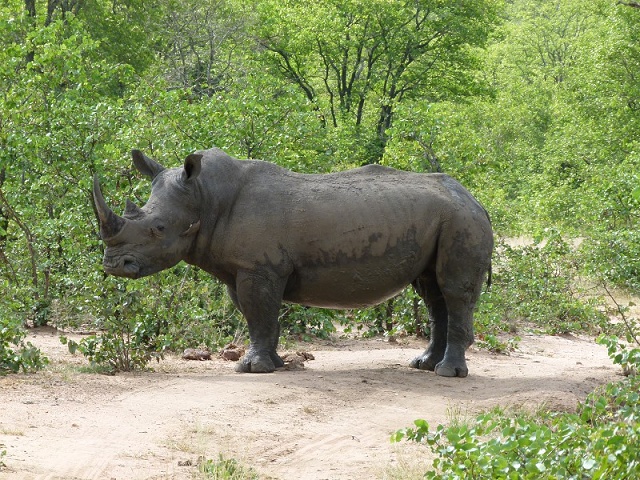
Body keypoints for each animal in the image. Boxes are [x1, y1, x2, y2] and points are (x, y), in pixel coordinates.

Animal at [93, 148, 493, 377]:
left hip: (460, 220)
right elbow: (259, 317)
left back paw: (447, 374)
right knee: (433, 292)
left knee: (453, 291)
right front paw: (273, 364)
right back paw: (424, 365)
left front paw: (252, 369)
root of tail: (475, 199)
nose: (113, 265)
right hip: (445, 218)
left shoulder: (258, 267)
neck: (204, 196)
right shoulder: (244, 268)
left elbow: (259, 314)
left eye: (158, 228)